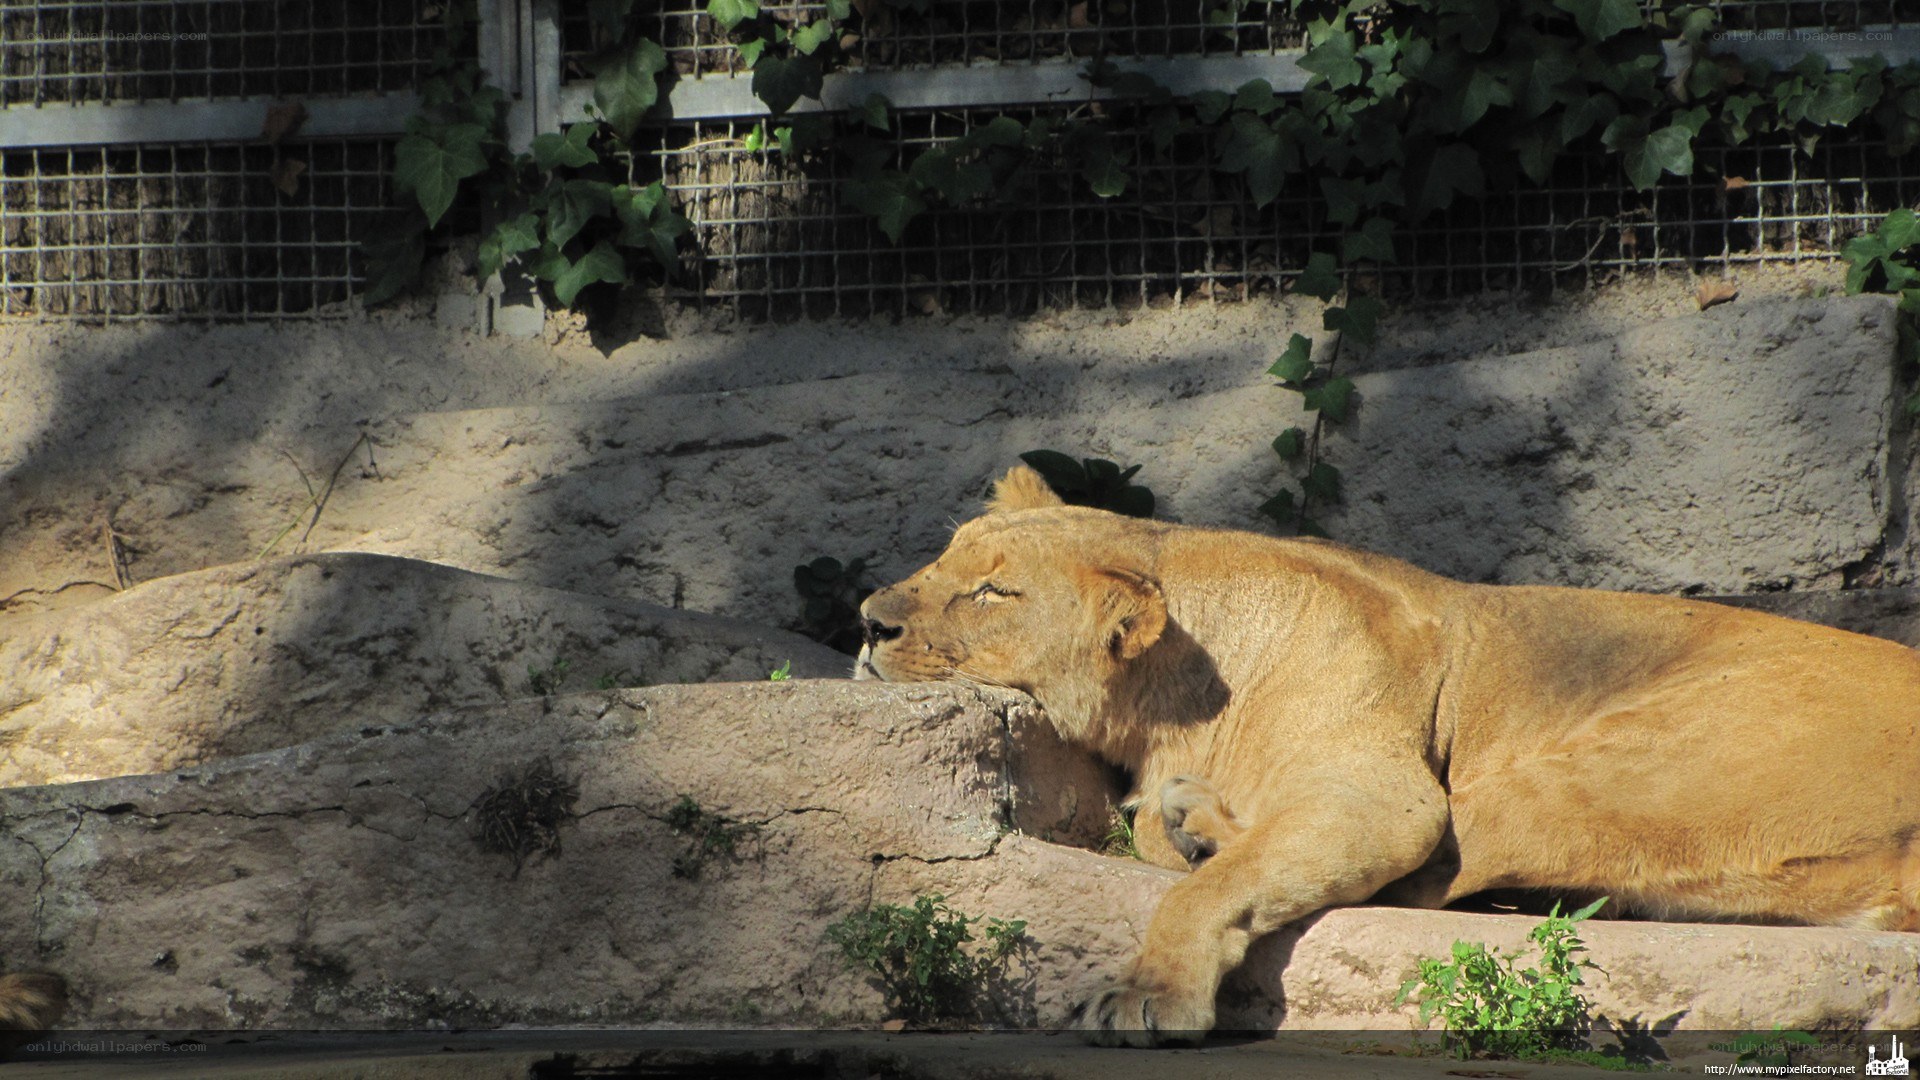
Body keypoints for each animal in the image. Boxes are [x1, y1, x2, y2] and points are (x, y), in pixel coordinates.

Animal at [853, 464, 1920, 1047]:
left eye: (992, 594)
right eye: (942, 559)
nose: (865, 622)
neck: (1174, 705)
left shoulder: (1385, 794)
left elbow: (1210, 890)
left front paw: (1151, 992)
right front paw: (1179, 824)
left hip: (1607, 761)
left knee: (1443, 873)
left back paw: (1200, 826)